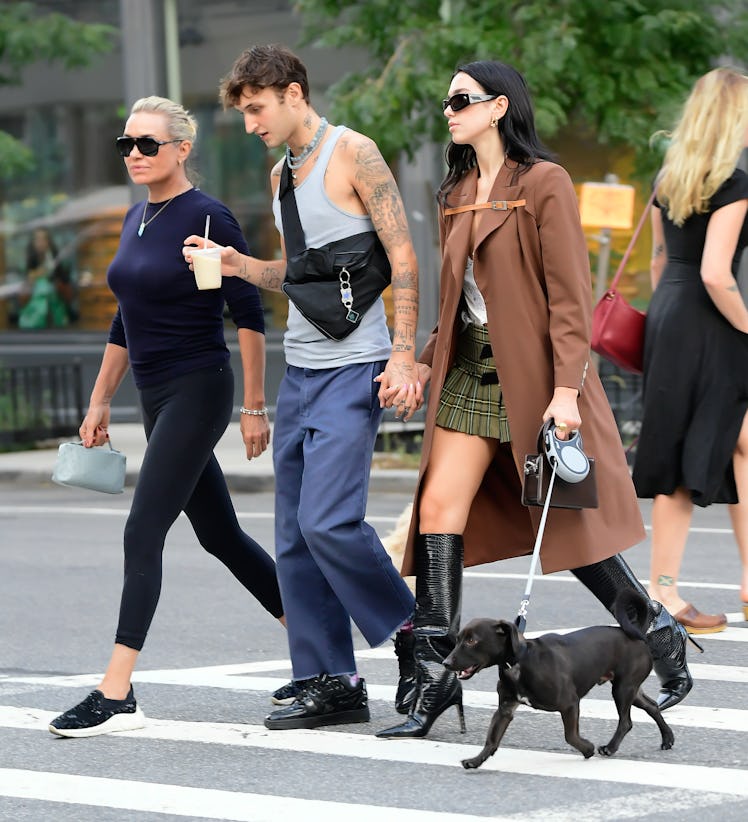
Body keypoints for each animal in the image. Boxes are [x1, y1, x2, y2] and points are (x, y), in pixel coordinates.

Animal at [442, 588, 676, 768]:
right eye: (459, 638)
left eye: (472, 641)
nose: (445, 662)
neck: (520, 662)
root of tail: (638, 634)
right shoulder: (505, 709)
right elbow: (491, 740)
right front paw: (476, 760)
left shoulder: (570, 703)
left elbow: (570, 736)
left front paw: (587, 748)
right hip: (631, 689)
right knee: (652, 706)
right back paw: (667, 739)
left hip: (623, 688)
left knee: (626, 722)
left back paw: (610, 748)